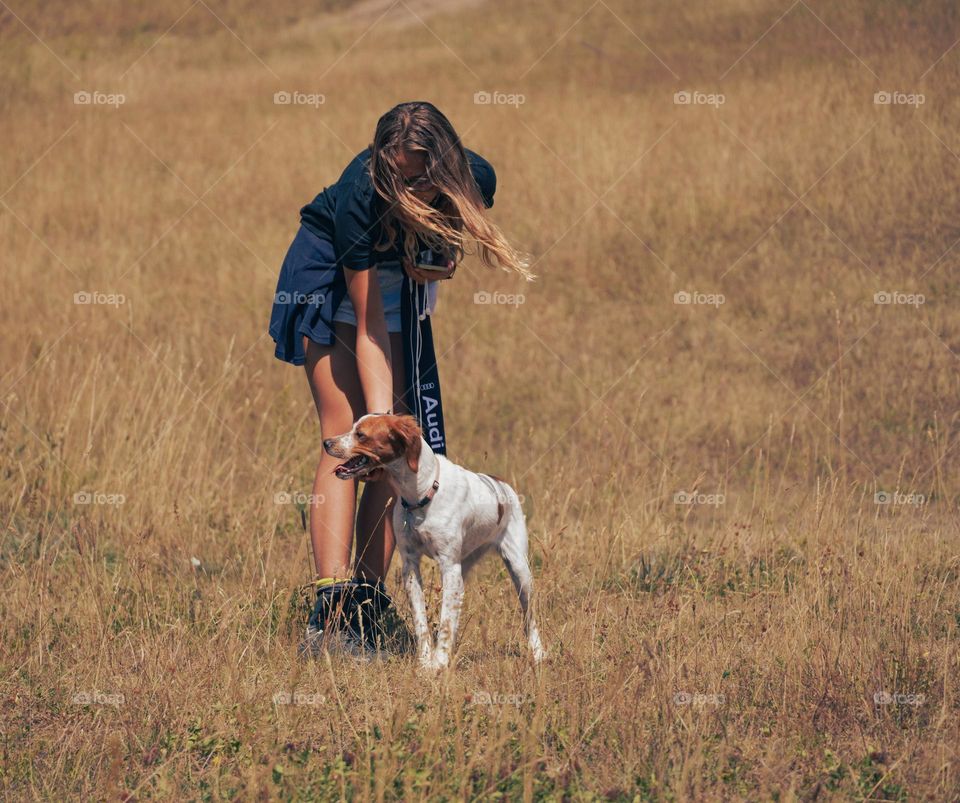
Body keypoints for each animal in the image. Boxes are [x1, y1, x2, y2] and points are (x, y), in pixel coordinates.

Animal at [324, 414, 544, 672]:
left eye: (361, 435)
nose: (326, 443)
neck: (420, 495)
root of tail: (501, 484)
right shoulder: (411, 565)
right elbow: (422, 621)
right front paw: (426, 660)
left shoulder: (449, 566)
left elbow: (445, 620)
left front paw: (439, 662)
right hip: (464, 569)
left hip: (519, 570)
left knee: (529, 618)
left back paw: (539, 653)